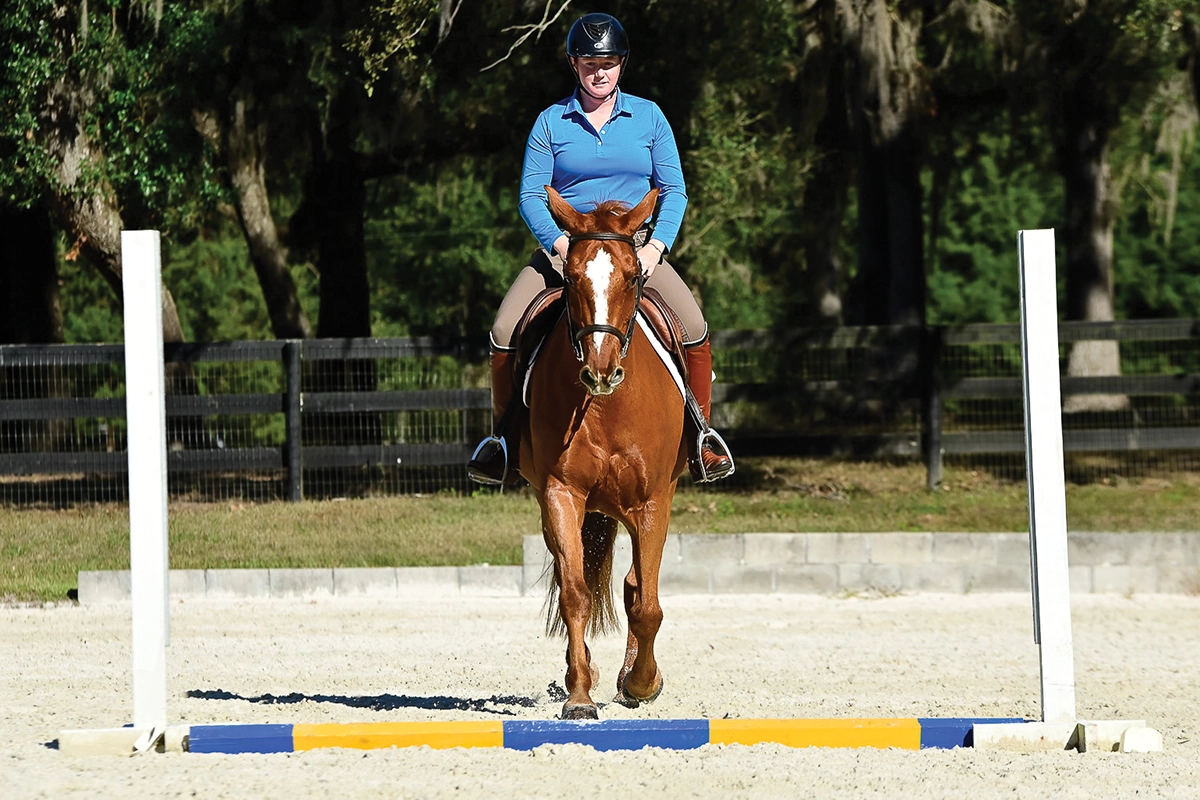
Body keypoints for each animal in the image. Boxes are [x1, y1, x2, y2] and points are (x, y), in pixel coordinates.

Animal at [517, 186, 688, 720]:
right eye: (571, 277)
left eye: (633, 277)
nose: (600, 370)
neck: (606, 406)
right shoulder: (562, 494)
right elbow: (575, 594)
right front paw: (579, 695)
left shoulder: (653, 501)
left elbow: (647, 603)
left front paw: (642, 683)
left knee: (636, 587)